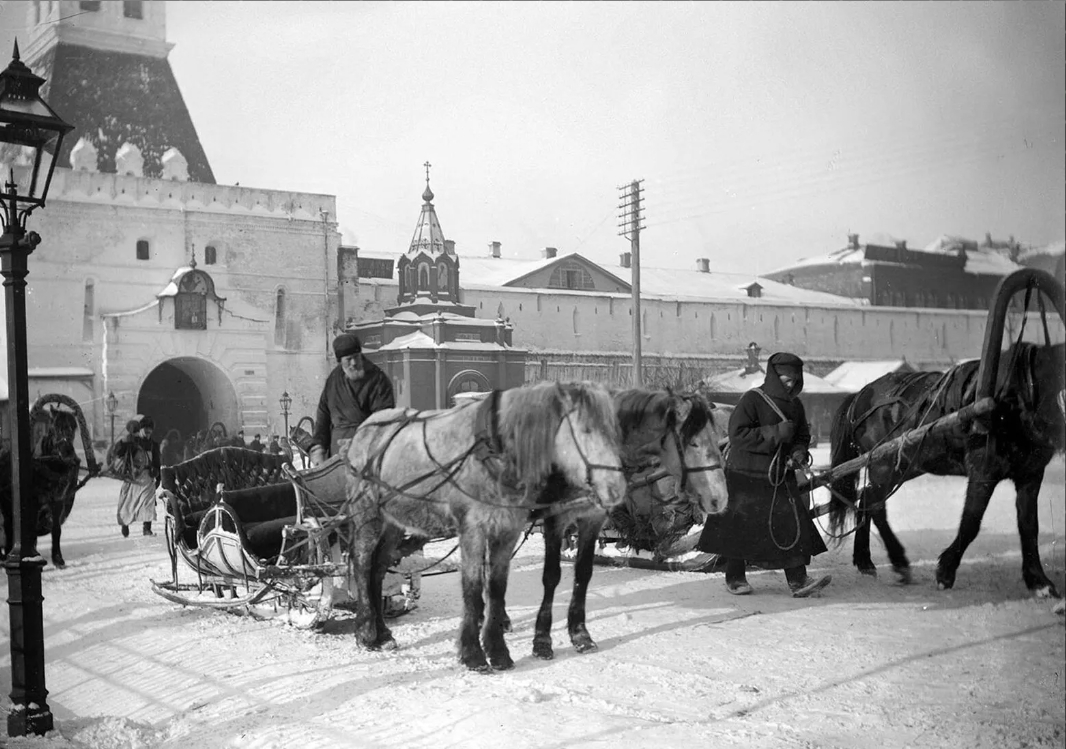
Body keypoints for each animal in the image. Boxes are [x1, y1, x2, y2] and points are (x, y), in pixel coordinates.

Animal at [341, 383, 626, 669]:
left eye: (615, 432)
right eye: (585, 430)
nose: (615, 488)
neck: (493, 455)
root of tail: (365, 428)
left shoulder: (509, 530)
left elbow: (497, 588)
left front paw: (498, 651)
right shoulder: (474, 529)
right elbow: (473, 587)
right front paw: (473, 653)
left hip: (393, 523)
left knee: (378, 570)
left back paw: (382, 633)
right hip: (368, 515)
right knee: (362, 565)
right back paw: (365, 633)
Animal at [528, 389, 729, 660]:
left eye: (716, 438)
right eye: (694, 443)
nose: (720, 498)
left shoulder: (592, 520)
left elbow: (583, 573)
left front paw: (581, 637)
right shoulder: (555, 521)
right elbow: (551, 576)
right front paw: (541, 642)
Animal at [831, 340, 1066, 596]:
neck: (1012, 398)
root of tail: (861, 394)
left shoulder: (1031, 474)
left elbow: (1029, 526)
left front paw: (1039, 581)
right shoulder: (983, 471)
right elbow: (971, 521)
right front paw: (946, 571)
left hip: (905, 465)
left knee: (866, 497)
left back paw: (865, 560)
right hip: (884, 465)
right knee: (875, 504)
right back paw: (898, 561)